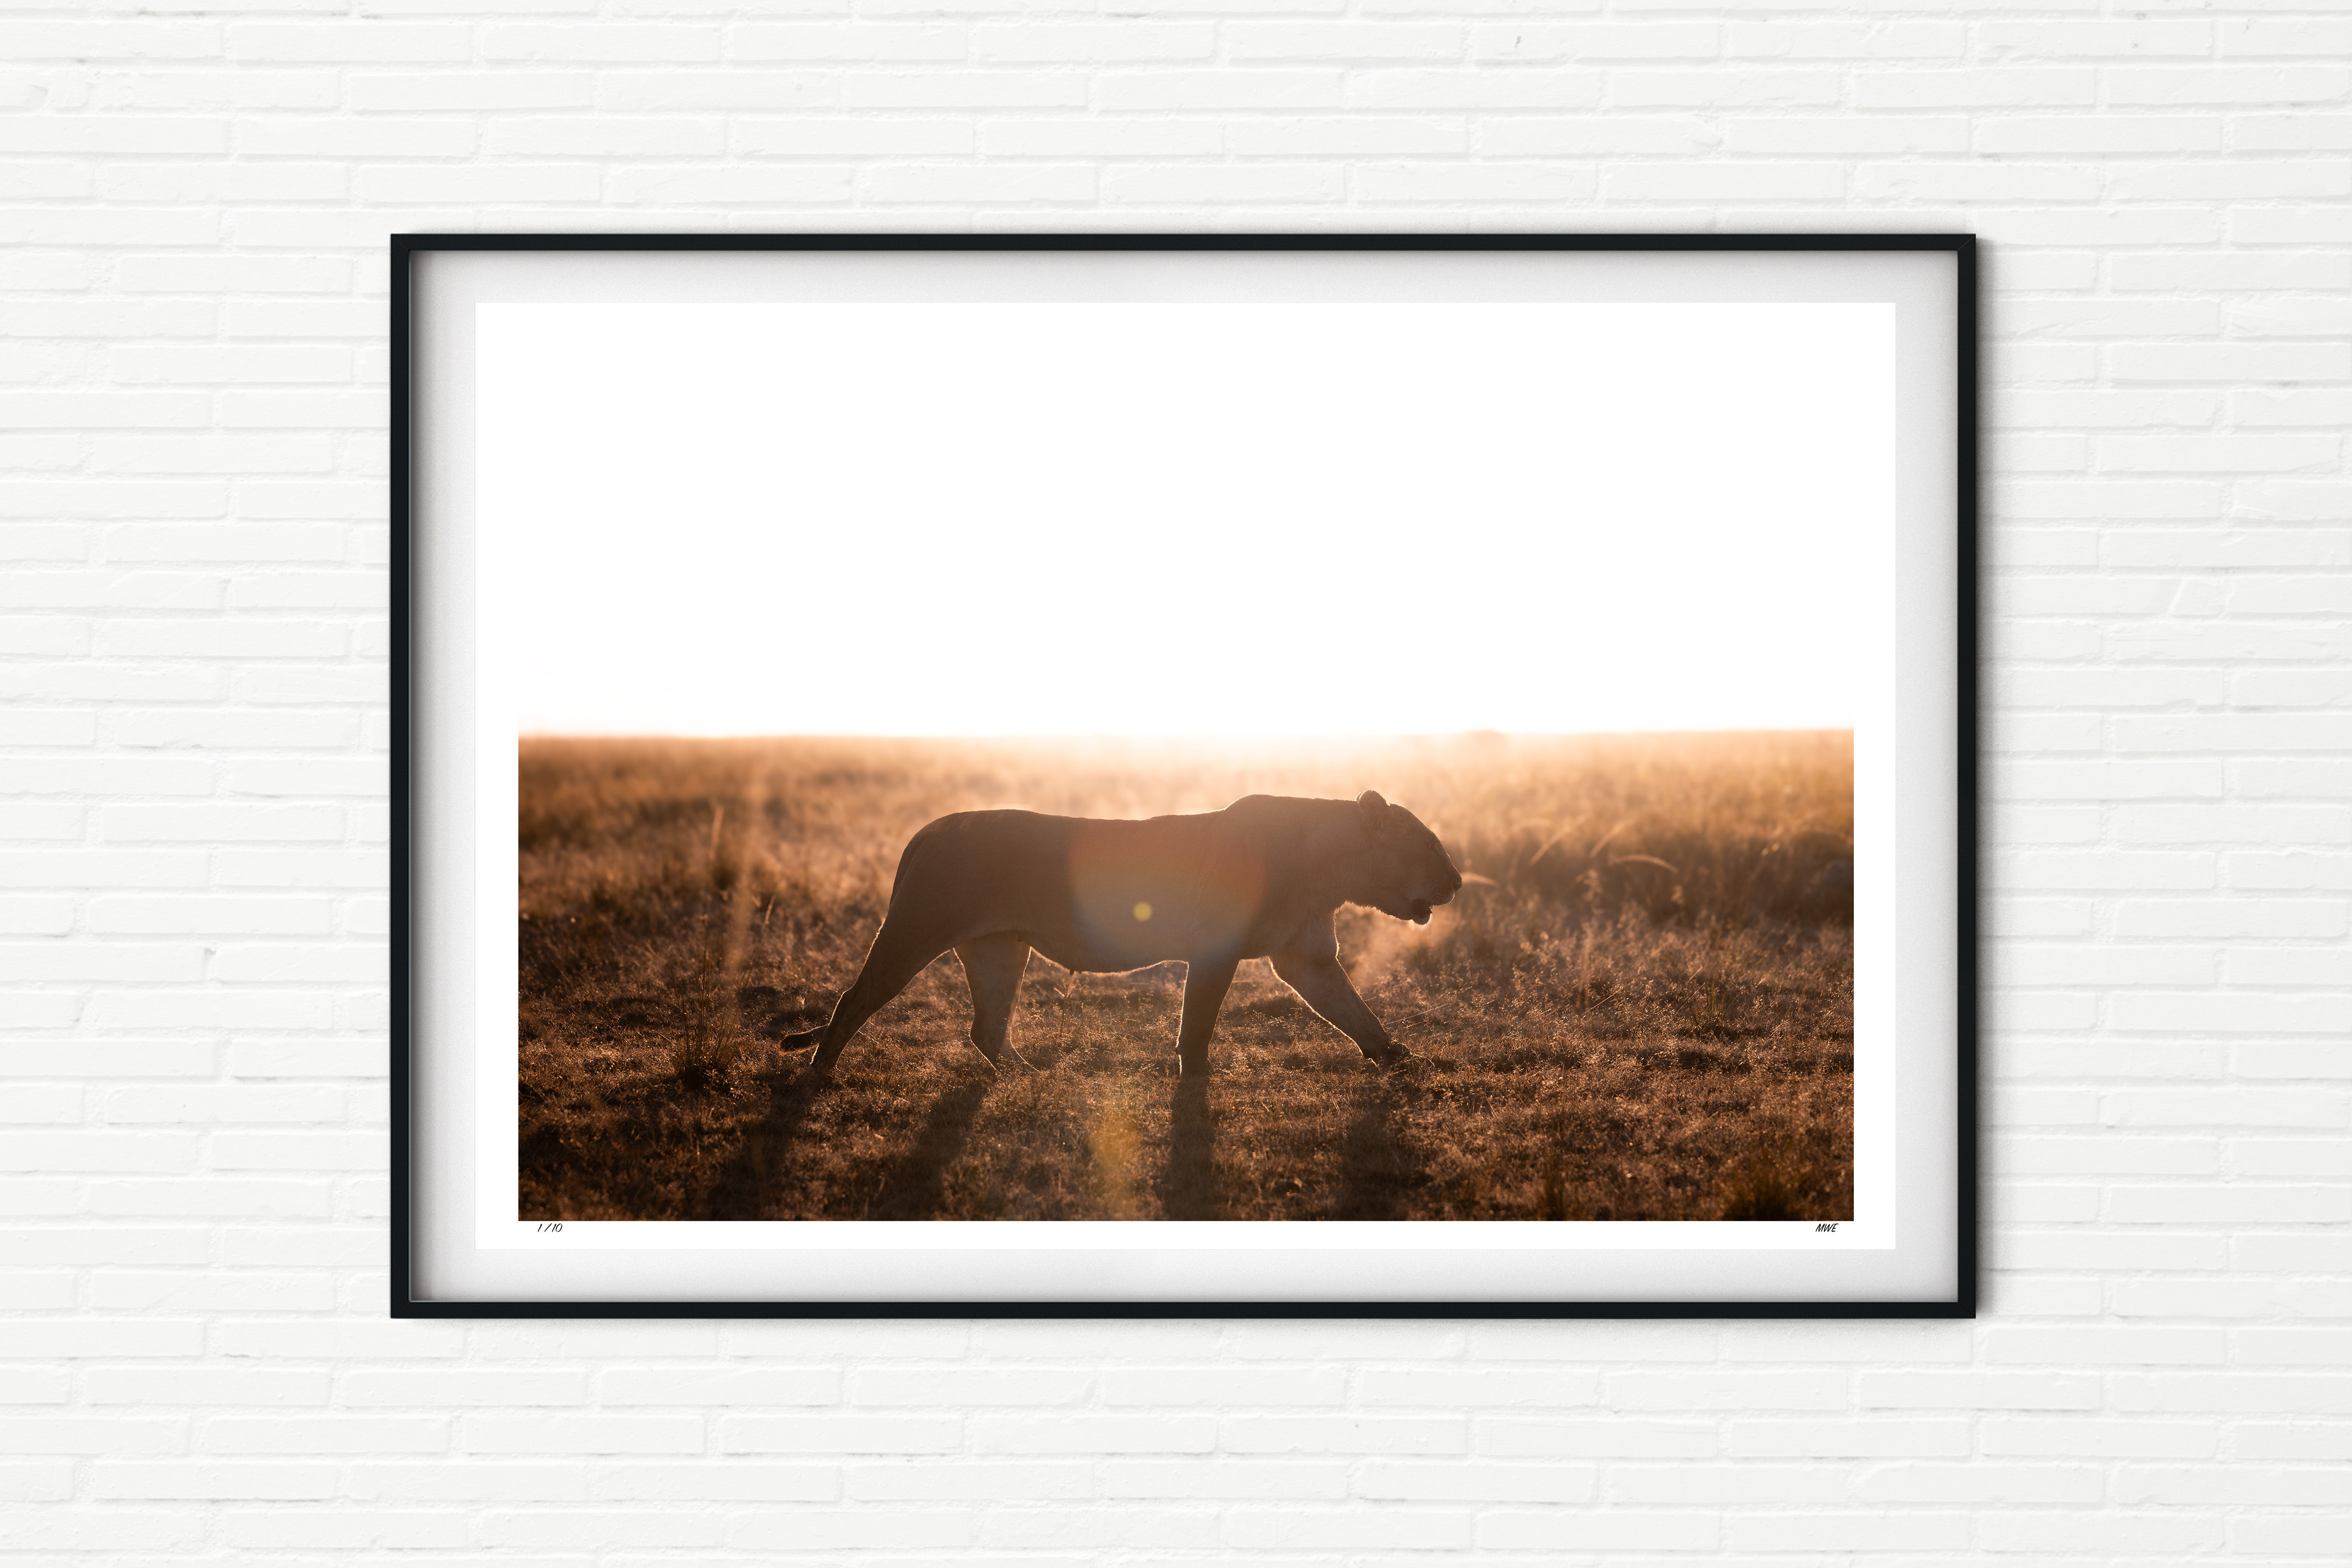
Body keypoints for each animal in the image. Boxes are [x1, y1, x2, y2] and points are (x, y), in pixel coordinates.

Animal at [781, 790, 1463, 1081]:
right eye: (1429, 846)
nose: (1458, 882)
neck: (1328, 869)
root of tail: (926, 831)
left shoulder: (1307, 959)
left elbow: (1356, 1014)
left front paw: (1400, 1059)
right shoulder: (1215, 949)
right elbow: (1197, 1024)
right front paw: (1194, 1079)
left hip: (1000, 949)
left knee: (985, 1028)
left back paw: (1032, 1077)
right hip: (915, 932)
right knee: (852, 1001)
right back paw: (819, 1074)